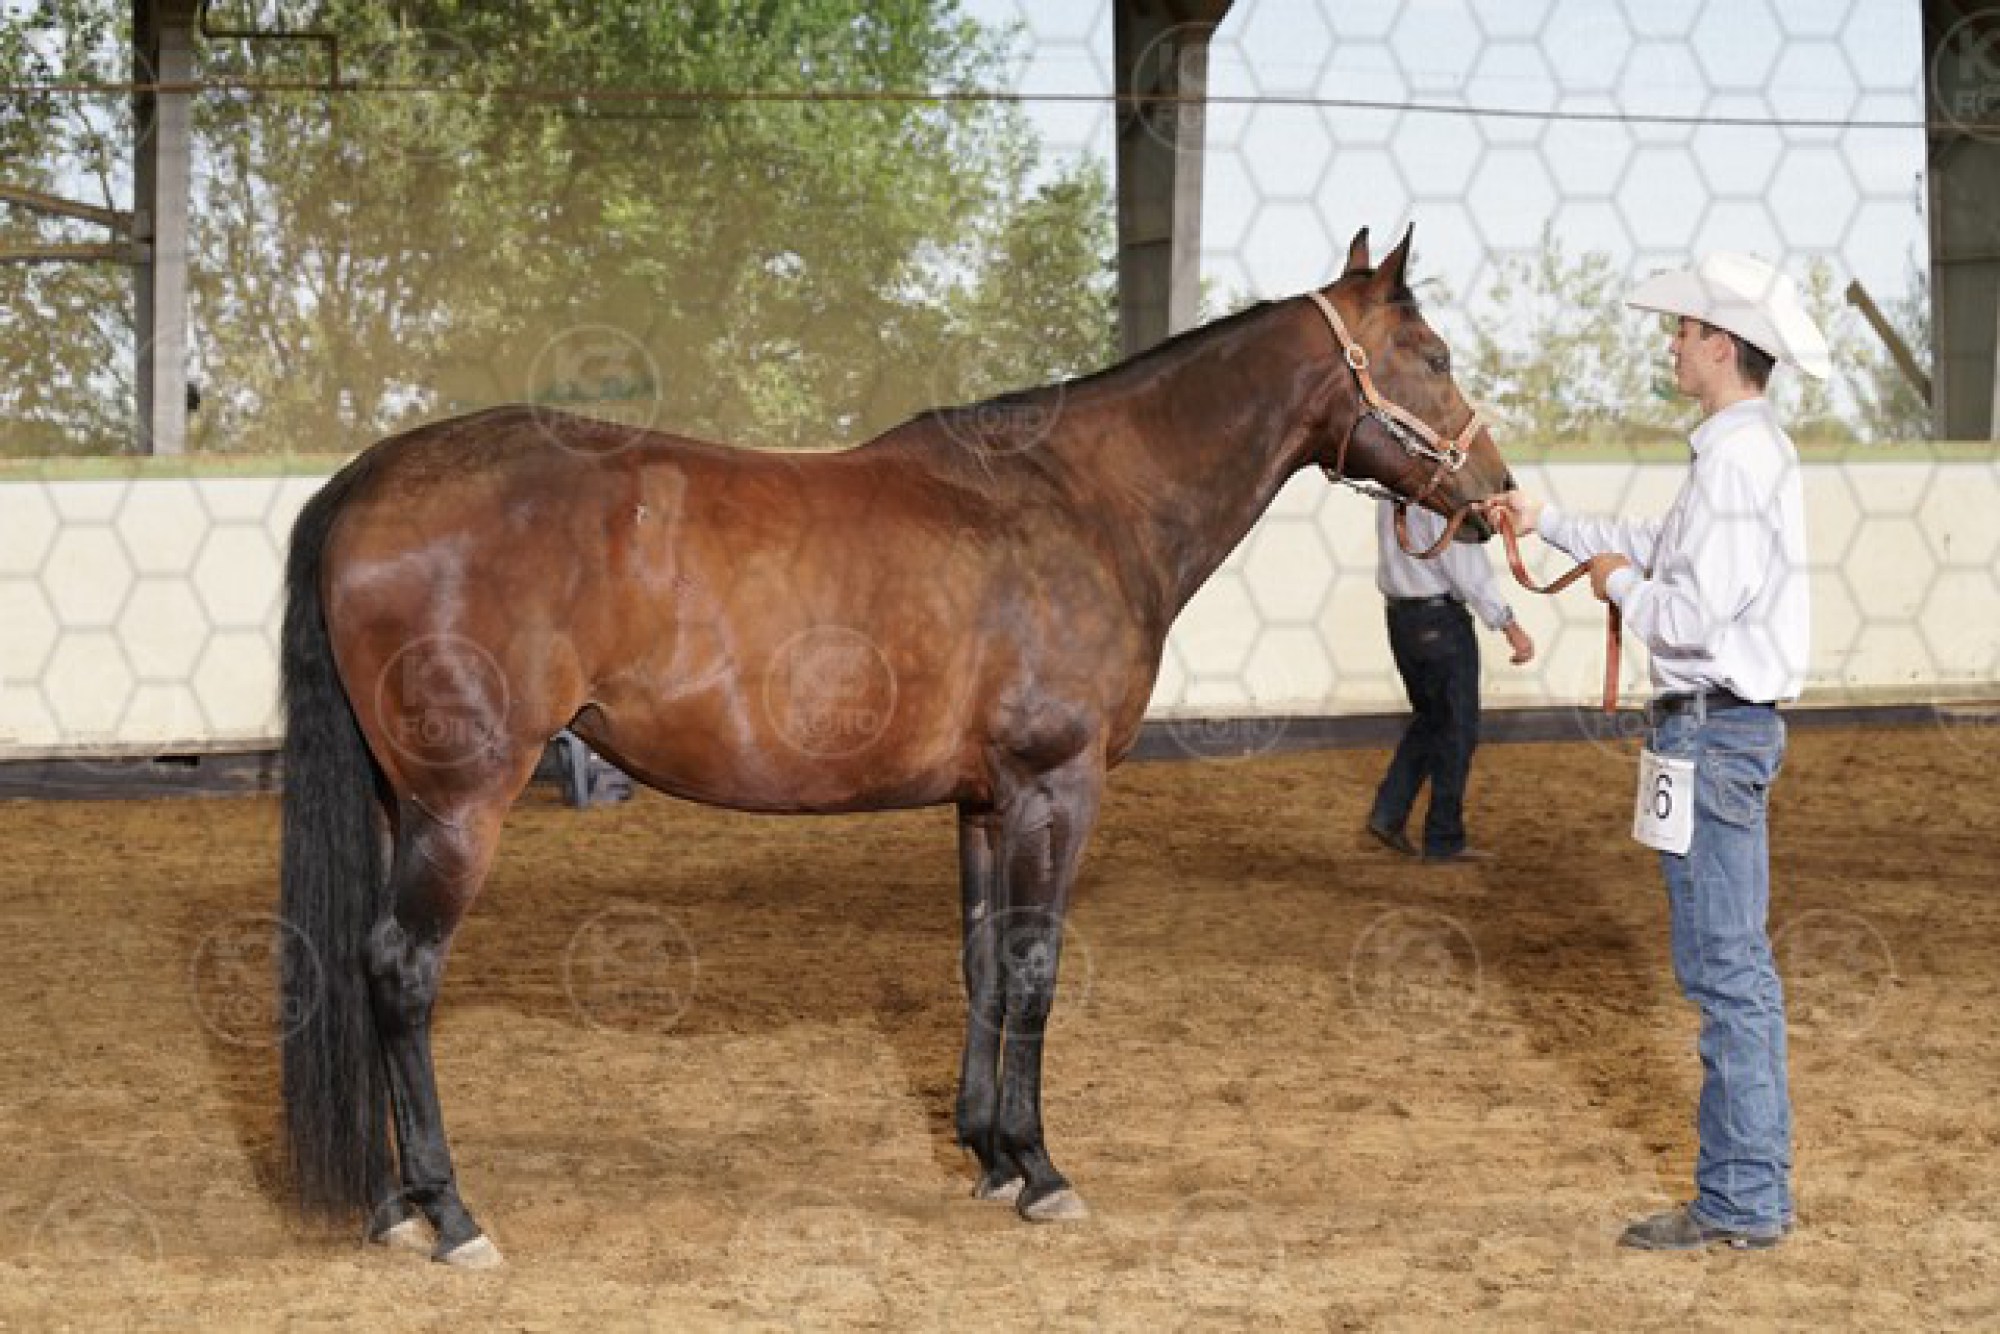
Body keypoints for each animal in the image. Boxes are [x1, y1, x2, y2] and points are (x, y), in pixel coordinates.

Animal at [276, 225, 1513, 1268]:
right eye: (1432, 354)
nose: (1496, 492)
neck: (1084, 499)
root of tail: (365, 481)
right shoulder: (1055, 785)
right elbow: (1035, 965)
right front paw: (1043, 1169)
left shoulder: (985, 798)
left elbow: (980, 961)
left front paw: (988, 1155)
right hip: (462, 805)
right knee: (400, 970)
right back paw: (450, 1213)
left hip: (398, 801)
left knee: (363, 967)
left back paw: (389, 1205)